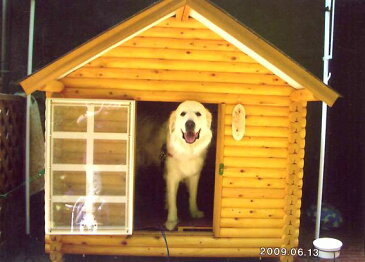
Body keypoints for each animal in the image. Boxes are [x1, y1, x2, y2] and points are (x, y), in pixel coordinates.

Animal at [164, 100, 212, 229]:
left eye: (198, 114)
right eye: (183, 113)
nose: (190, 124)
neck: (187, 150)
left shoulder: (195, 176)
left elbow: (193, 196)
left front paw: (194, 212)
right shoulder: (171, 178)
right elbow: (172, 199)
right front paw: (172, 220)